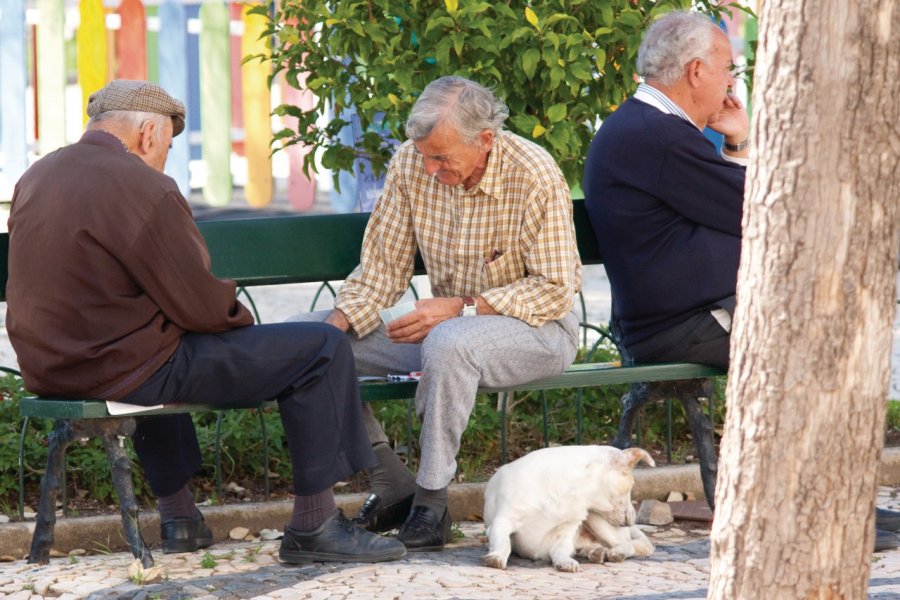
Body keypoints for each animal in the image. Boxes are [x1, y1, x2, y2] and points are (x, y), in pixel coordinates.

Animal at [486, 446, 652, 572]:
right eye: (630, 487)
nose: (632, 519)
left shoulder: (564, 533)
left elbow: (562, 550)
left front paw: (565, 561)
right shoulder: (501, 522)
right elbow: (503, 542)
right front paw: (497, 556)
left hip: (595, 517)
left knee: (627, 545)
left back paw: (613, 552)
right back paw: (598, 553)